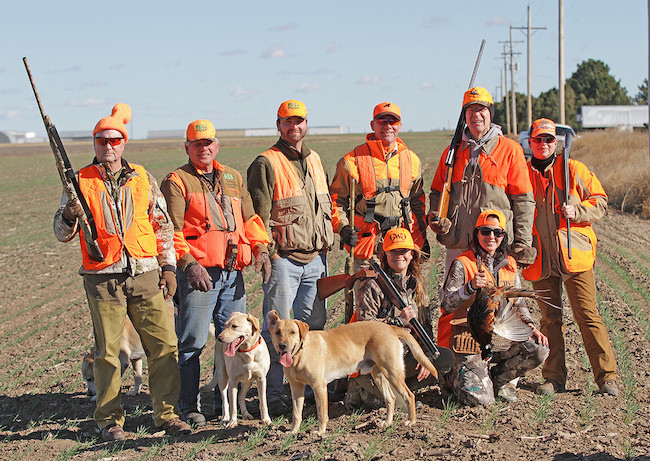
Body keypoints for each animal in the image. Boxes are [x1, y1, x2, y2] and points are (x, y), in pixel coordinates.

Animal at [266, 310, 438, 434]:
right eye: (278, 332)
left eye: (293, 332)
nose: (283, 346)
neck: (299, 355)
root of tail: (389, 327)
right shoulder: (296, 388)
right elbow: (296, 413)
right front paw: (293, 432)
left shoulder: (319, 386)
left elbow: (321, 413)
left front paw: (320, 432)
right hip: (379, 375)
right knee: (391, 398)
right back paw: (387, 423)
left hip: (393, 372)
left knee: (409, 395)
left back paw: (411, 421)